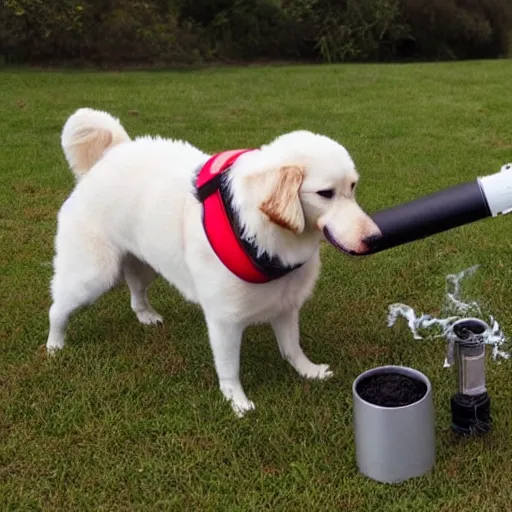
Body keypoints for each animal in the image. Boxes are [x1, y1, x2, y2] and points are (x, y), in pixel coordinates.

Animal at [46, 108, 378, 416]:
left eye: (353, 187)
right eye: (325, 193)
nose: (375, 238)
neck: (258, 235)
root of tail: (110, 155)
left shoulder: (285, 305)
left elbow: (292, 348)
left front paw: (309, 371)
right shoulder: (224, 321)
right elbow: (230, 369)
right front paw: (237, 403)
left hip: (146, 265)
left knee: (136, 293)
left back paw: (146, 316)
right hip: (93, 276)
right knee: (57, 308)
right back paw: (54, 345)